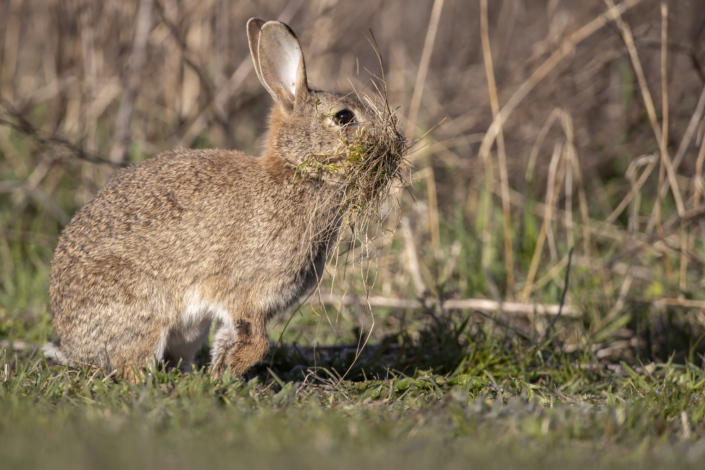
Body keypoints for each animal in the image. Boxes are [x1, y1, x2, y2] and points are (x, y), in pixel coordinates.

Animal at [43, 17, 376, 382]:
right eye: (344, 117)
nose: (391, 136)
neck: (294, 173)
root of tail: (72, 345)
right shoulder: (245, 290)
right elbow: (256, 340)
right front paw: (227, 375)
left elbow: (235, 338)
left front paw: (221, 375)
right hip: (142, 306)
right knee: (132, 364)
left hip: (188, 331)